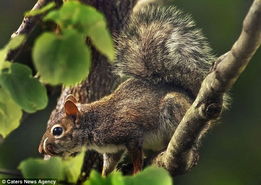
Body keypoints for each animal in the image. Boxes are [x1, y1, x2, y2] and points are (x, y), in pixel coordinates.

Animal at [38, 4, 217, 175]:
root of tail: (192, 100)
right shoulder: (112, 150)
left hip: (173, 108)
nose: (41, 149)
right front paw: (104, 175)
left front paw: (136, 170)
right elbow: (110, 165)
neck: (93, 123)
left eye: (57, 130)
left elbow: (136, 153)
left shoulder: (131, 133)